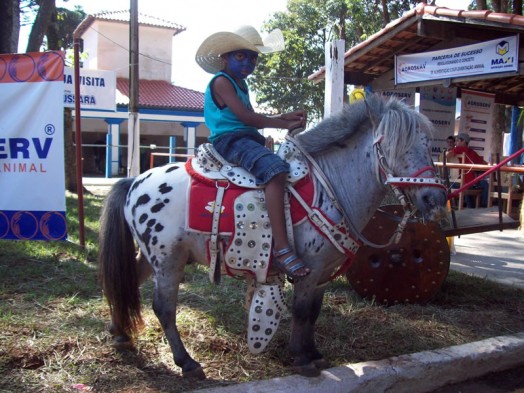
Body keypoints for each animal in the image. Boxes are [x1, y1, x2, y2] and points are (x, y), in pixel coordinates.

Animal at [98, 93, 446, 378]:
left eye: (429, 145)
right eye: (395, 146)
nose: (435, 198)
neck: (332, 186)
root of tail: (133, 181)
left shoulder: (323, 273)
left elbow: (314, 312)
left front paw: (314, 354)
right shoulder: (309, 270)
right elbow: (302, 311)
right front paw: (302, 359)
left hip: (153, 257)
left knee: (128, 282)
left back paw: (120, 333)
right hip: (168, 259)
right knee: (164, 307)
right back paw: (187, 363)